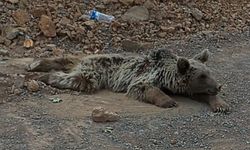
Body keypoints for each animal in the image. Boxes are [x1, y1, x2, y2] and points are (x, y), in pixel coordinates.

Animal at [26, 48, 229, 112]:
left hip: (86, 62)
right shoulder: (147, 76)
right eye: (202, 76)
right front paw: (168, 101)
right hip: (94, 71)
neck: (168, 78)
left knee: (66, 60)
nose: (219, 86)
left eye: (208, 72)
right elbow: (144, 88)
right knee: (76, 79)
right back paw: (40, 73)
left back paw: (37, 65)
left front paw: (220, 104)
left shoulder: (185, 88)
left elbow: (201, 95)